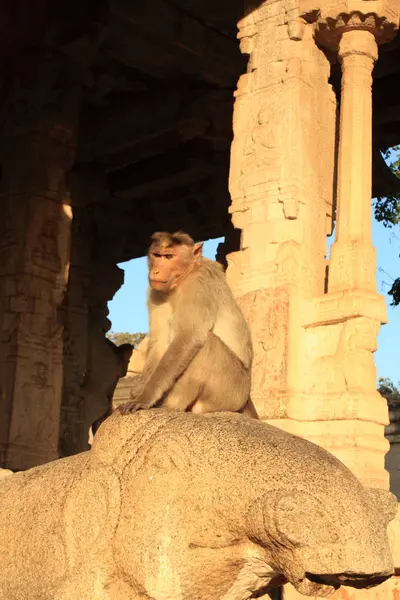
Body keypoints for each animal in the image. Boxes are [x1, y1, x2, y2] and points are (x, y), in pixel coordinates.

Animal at [117, 227, 258, 420]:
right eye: (157, 255)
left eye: (169, 256)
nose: (156, 271)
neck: (184, 277)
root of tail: (245, 400)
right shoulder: (157, 292)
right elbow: (160, 342)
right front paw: (140, 391)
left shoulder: (198, 285)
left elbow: (189, 337)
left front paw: (145, 398)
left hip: (231, 392)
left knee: (206, 345)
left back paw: (170, 406)